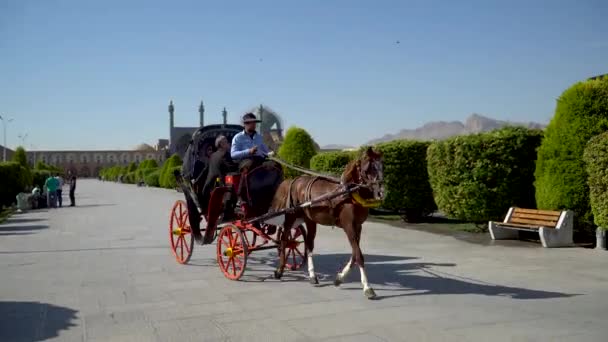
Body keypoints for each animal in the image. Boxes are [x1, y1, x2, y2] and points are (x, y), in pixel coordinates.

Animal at [270, 148, 384, 300]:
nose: (381, 192)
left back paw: (312, 275)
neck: (348, 193)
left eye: (382, 166)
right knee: (283, 241)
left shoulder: (358, 226)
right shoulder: (349, 226)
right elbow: (359, 256)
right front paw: (367, 287)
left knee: (309, 245)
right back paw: (280, 270)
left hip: (310, 220)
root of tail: (294, 180)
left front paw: (339, 278)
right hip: (290, 217)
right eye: (368, 167)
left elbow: (354, 254)